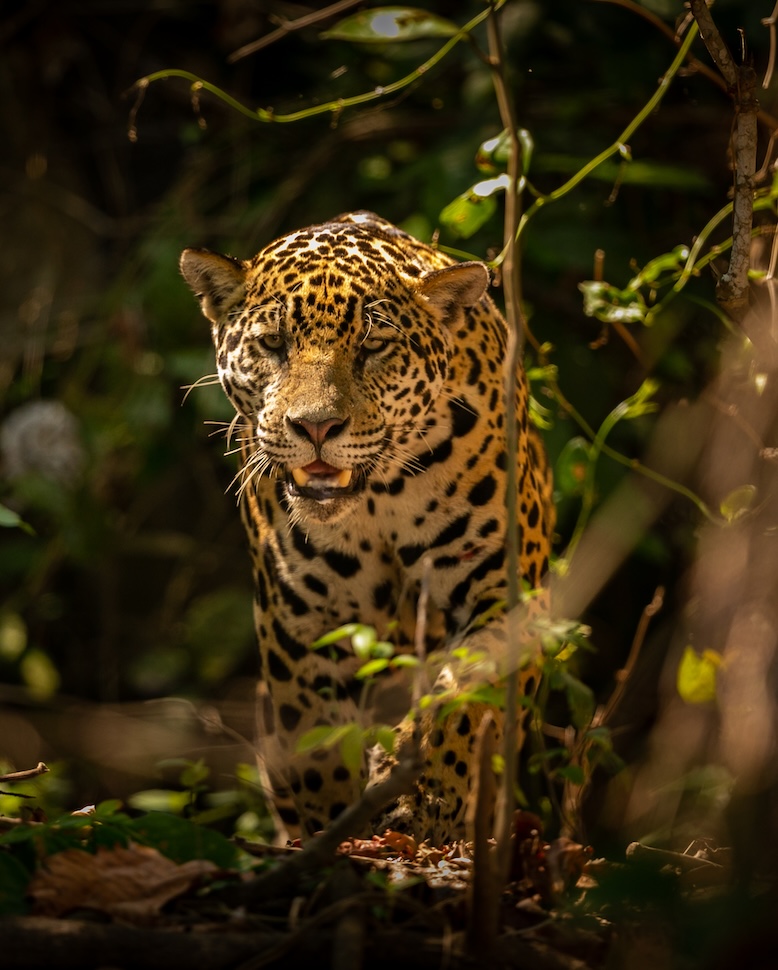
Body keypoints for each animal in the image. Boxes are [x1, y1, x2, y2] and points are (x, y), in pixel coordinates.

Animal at [180, 211, 554, 844]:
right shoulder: (301, 623)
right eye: (273, 344)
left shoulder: (502, 589)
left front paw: (424, 797)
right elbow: (320, 749)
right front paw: (339, 831)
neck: (380, 496)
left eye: (374, 347)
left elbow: (463, 698)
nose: (315, 427)